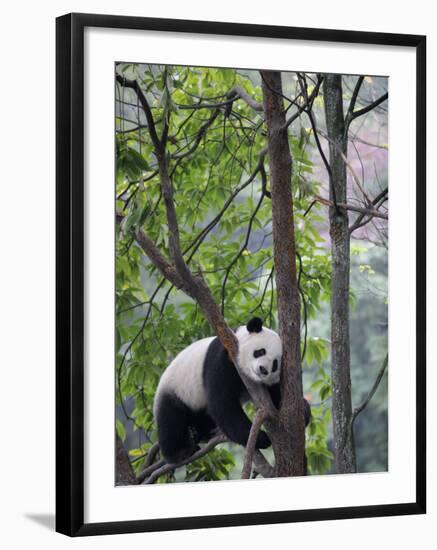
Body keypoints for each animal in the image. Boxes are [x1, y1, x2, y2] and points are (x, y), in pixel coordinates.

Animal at [153, 316, 310, 468]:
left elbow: (277, 399)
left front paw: (304, 411)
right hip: (176, 388)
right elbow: (223, 404)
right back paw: (181, 452)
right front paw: (261, 438)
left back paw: (204, 432)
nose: (263, 370)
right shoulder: (224, 358)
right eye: (260, 351)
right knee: (171, 419)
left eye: (275, 364)